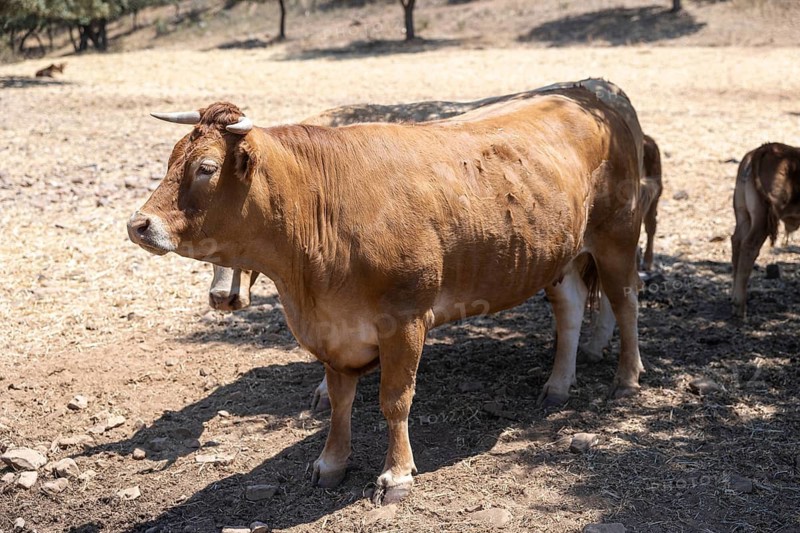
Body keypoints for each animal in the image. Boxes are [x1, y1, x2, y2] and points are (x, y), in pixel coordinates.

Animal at [128, 81, 644, 503]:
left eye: (206, 167)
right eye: (171, 160)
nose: (139, 224)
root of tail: (590, 98)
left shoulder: (405, 319)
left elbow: (395, 399)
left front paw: (396, 475)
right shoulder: (333, 331)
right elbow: (340, 401)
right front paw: (330, 463)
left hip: (616, 237)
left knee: (625, 303)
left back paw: (626, 379)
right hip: (563, 252)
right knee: (570, 309)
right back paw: (557, 385)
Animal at [731, 142, 800, 318]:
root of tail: (765, 148)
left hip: (743, 215)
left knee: (737, 242)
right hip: (761, 219)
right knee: (749, 246)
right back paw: (741, 308)